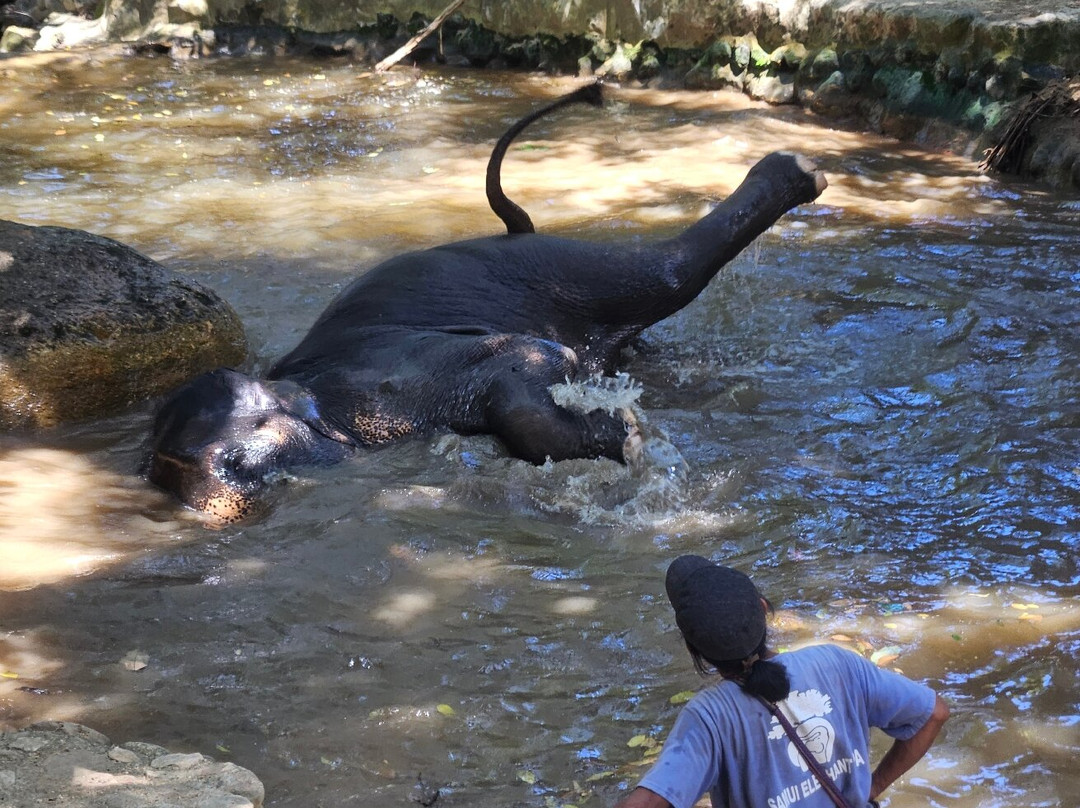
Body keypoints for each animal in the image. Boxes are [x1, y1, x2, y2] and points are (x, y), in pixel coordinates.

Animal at [147, 83, 827, 523]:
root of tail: (515, 227)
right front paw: (630, 435)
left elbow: (527, 365)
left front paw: (632, 434)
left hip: (550, 263)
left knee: (658, 279)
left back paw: (798, 169)